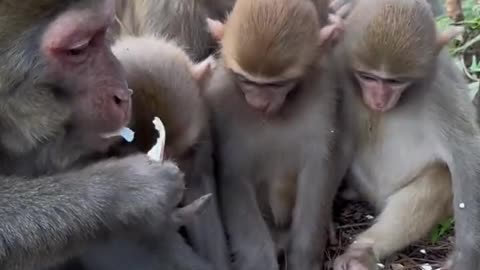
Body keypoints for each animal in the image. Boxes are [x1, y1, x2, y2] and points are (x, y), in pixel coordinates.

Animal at [203, 0, 356, 268]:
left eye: (276, 84)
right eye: (245, 80)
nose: (258, 103)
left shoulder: (322, 95)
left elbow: (317, 169)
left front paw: (305, 257)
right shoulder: (221, 101)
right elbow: (234, 175)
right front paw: (260, 260)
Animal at [326, 0, 480, 270]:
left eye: (396, 81)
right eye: (367, 77)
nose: (379, 100)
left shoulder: (441, 87)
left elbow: (466, 154)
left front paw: (466, 256)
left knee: (440, 178)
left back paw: (364, 251)